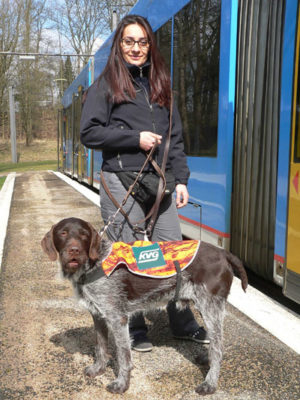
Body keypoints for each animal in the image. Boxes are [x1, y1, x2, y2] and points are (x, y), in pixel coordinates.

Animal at [41, 217, 248, 396]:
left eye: (84, 234)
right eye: (63, 233)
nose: (74, 250)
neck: (94, 262)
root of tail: (223, 253)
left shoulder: (117, 318)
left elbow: (123, 356)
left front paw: (121, 384)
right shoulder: (98, 315)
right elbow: (101, 346)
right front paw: (98, 368)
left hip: (210, 307)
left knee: (218, 348)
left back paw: (210, 383)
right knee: (216, 343)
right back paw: (207, 360)